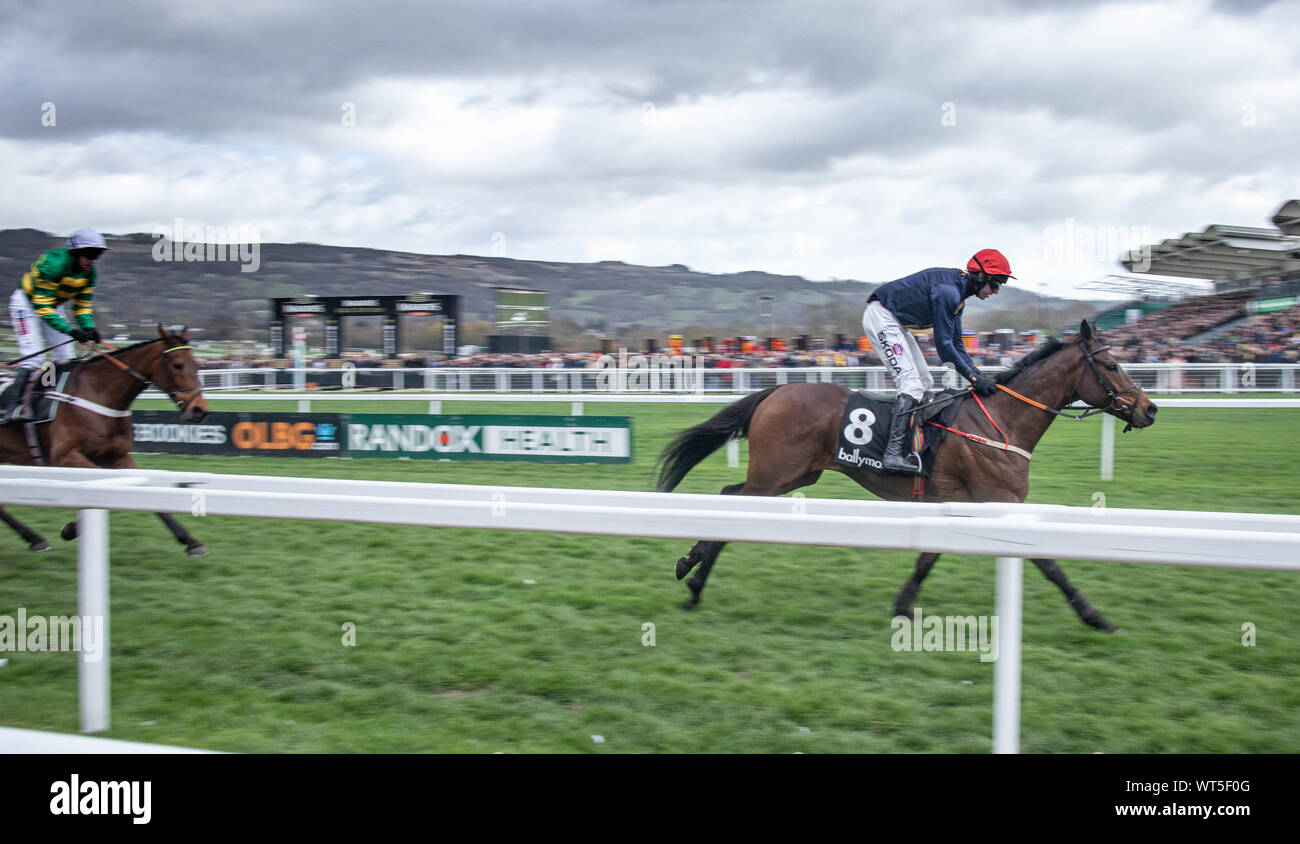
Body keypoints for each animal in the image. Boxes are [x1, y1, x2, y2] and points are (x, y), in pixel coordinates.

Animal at [1, 326, 210, 556]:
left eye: (198, 365)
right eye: (177, 365)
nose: (199, 410)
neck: (98, 394)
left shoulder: (117, 456)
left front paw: (191, 541)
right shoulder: (64, 456)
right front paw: (70, 529)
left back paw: (34, 538)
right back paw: (35, 537)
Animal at [660, 319, 1159, 629]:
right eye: (1111, 365)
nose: (1149, 408)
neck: (1002, 420)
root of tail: (774, 393)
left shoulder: (954, 504)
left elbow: (926, 558)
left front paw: (902, 607)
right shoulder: (1000, 503)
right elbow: (1050, 563)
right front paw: (1094, 617)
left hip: (794, 476)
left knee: (730, 494)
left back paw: (690, 567)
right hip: (776, 474)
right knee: (733, 504)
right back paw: (695, 583)